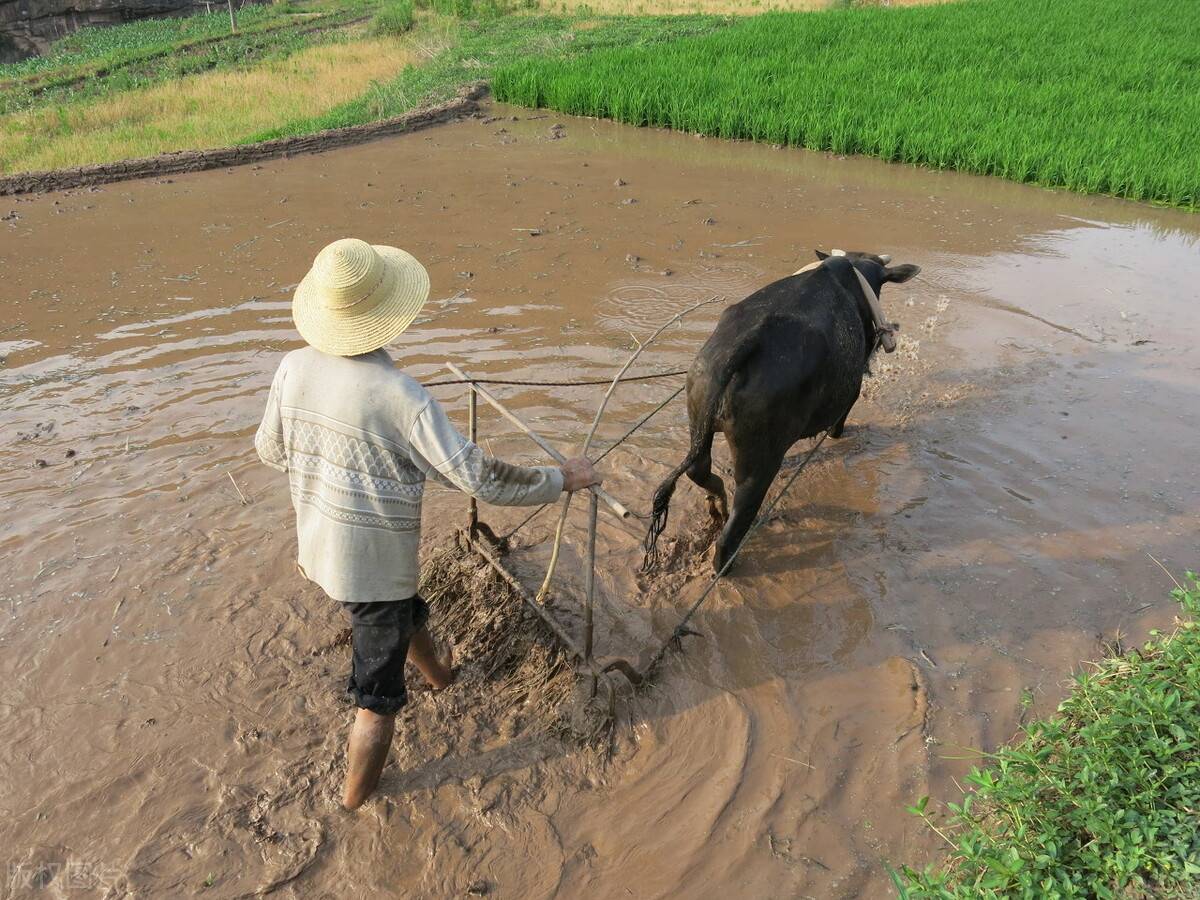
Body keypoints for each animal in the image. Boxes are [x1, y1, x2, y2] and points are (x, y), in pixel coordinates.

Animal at [648, 250, 916, 573]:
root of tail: (745, 343)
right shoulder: (851, 389)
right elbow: (839, 423)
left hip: (699, 416)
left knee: (699, 470)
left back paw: (718, 502)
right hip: (759, 462)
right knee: (739, 514)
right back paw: (727, 561)